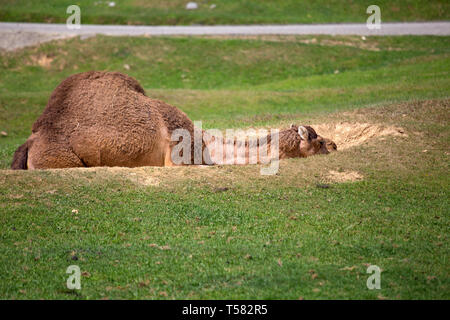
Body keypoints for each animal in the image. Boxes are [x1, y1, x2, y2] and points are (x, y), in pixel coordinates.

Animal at [10, 70, 336, 170]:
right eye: (318, 140)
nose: (335, 144)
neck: (207, 145)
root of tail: (31, 142)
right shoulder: (178, 158)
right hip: (59, 158)